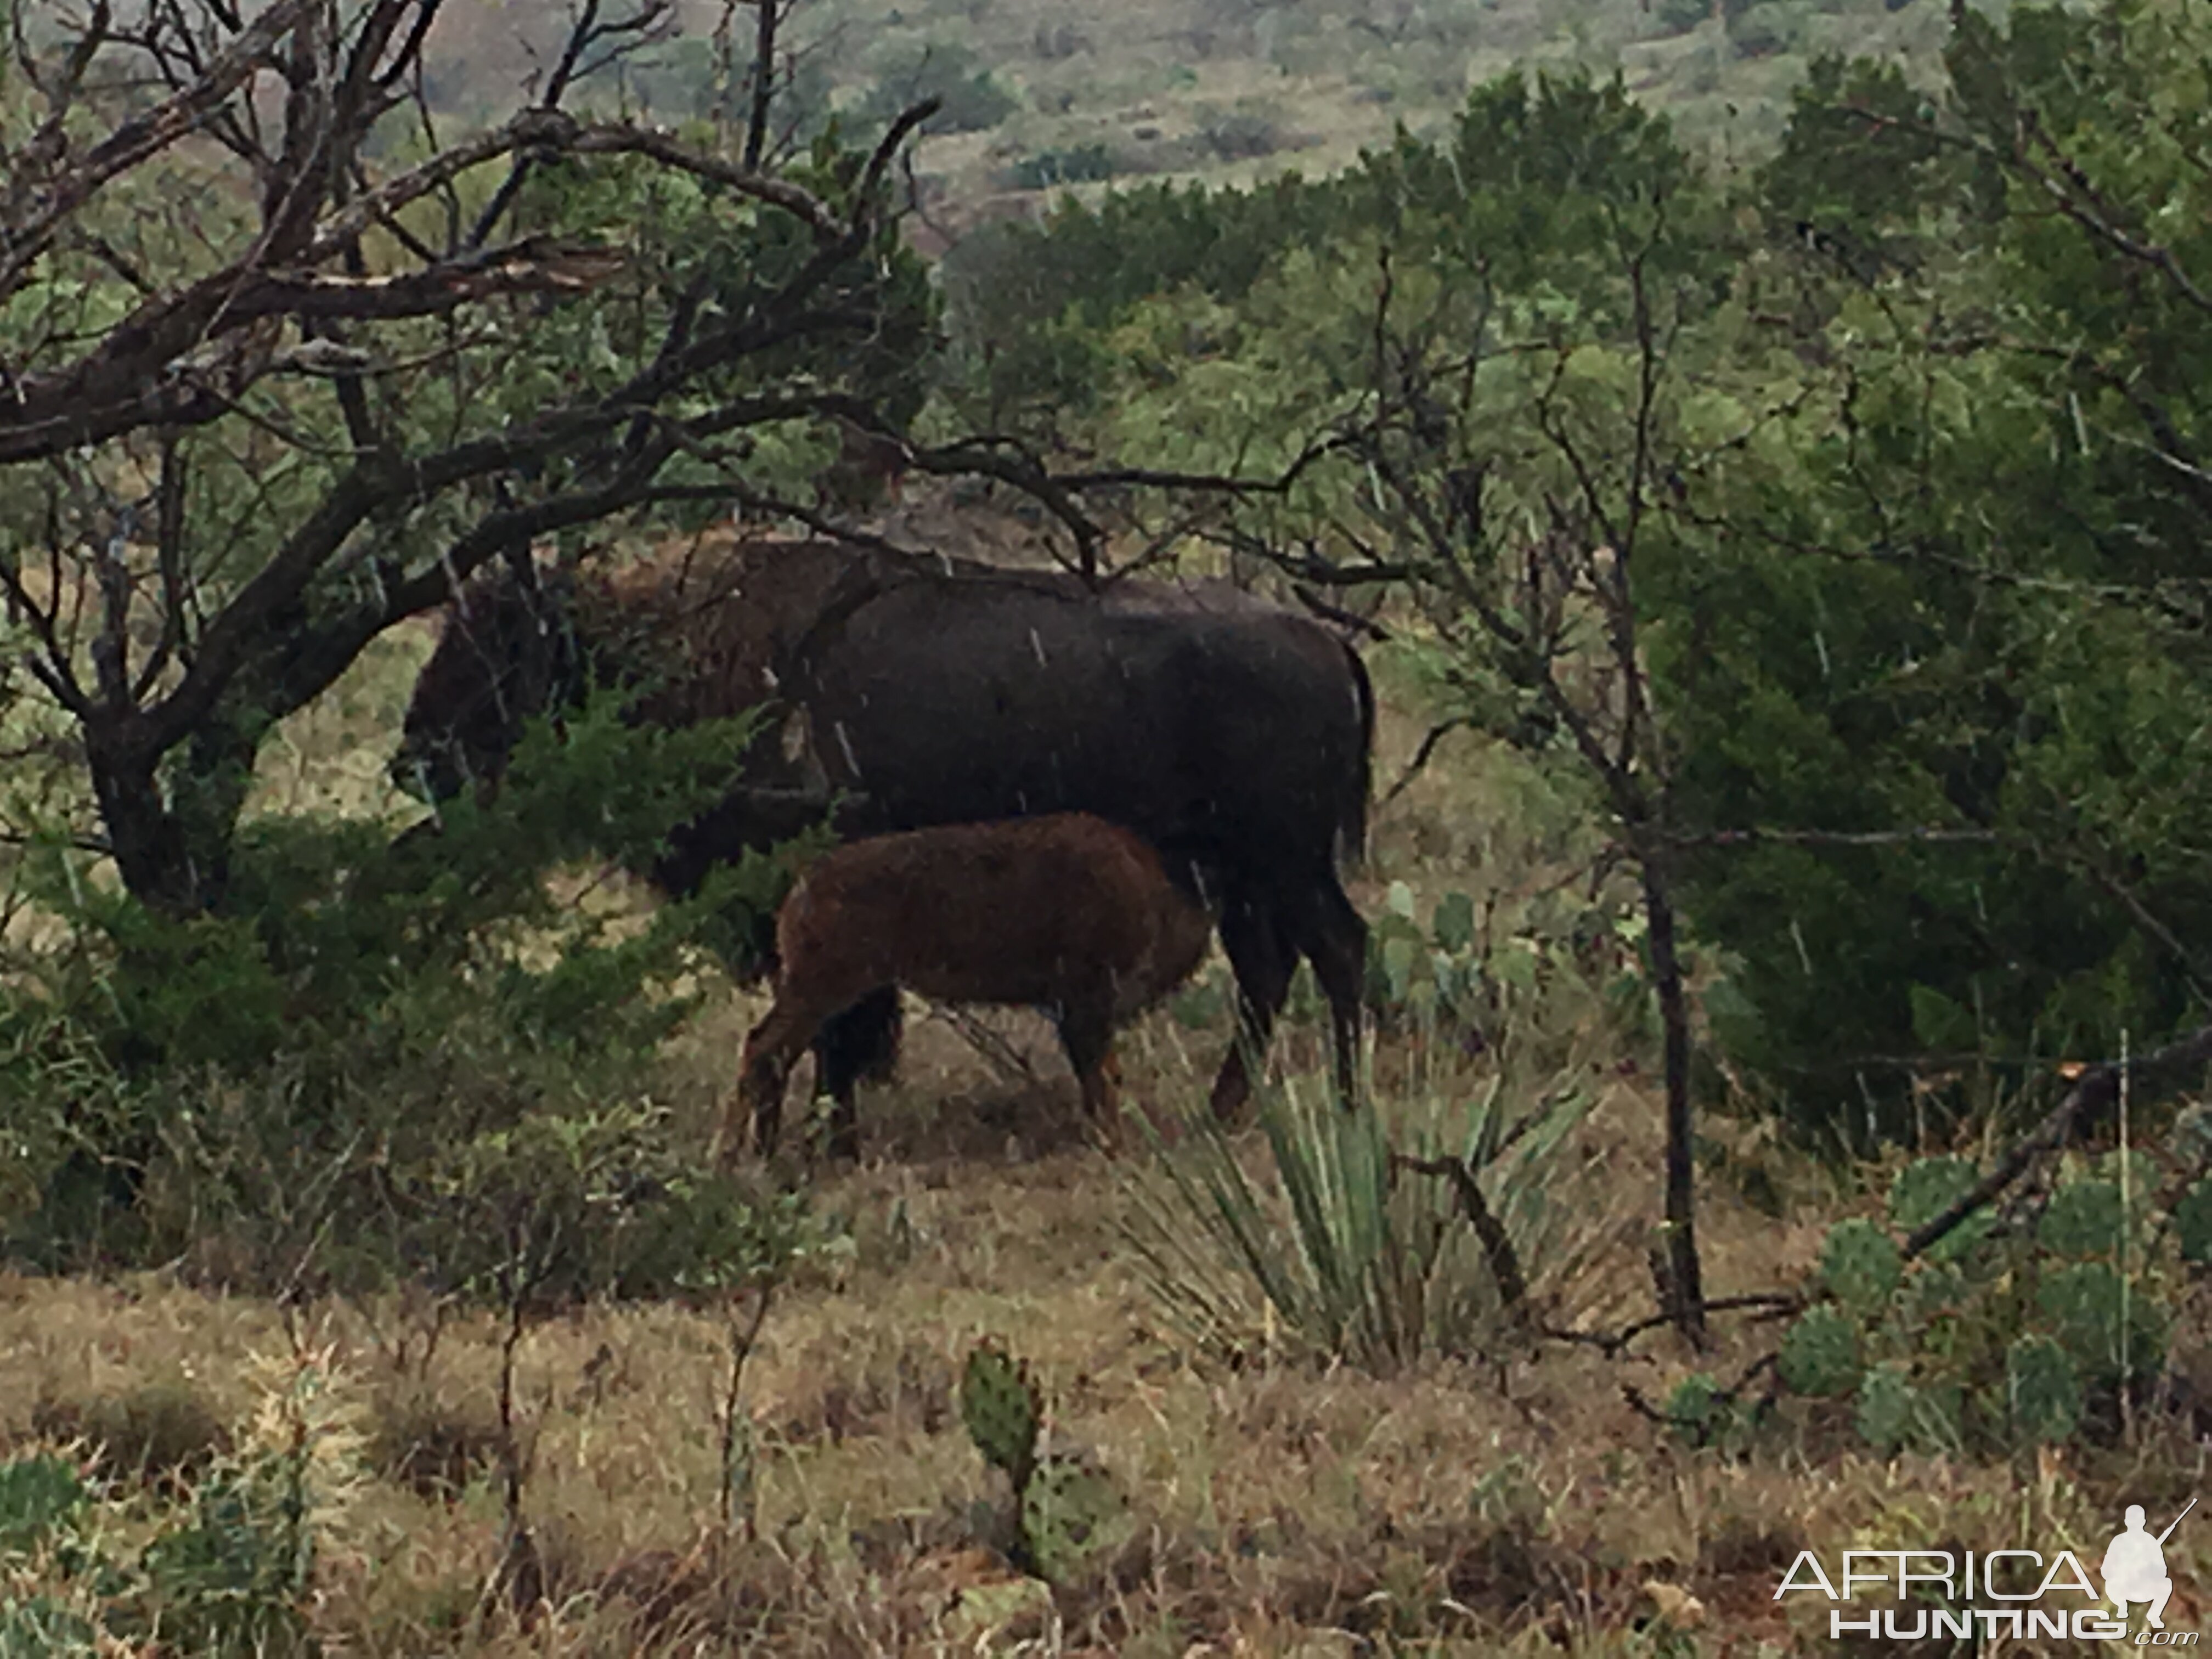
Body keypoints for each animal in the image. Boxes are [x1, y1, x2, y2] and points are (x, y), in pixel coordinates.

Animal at [725, 814, 1212, 1159]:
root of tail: (803, 887)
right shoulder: (1086, 1003)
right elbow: (1102, 1077)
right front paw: (1115, 1148)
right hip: (821, 988)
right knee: (764, 1048)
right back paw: (739, 1158)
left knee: (774, 1052)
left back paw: (763, 1153)